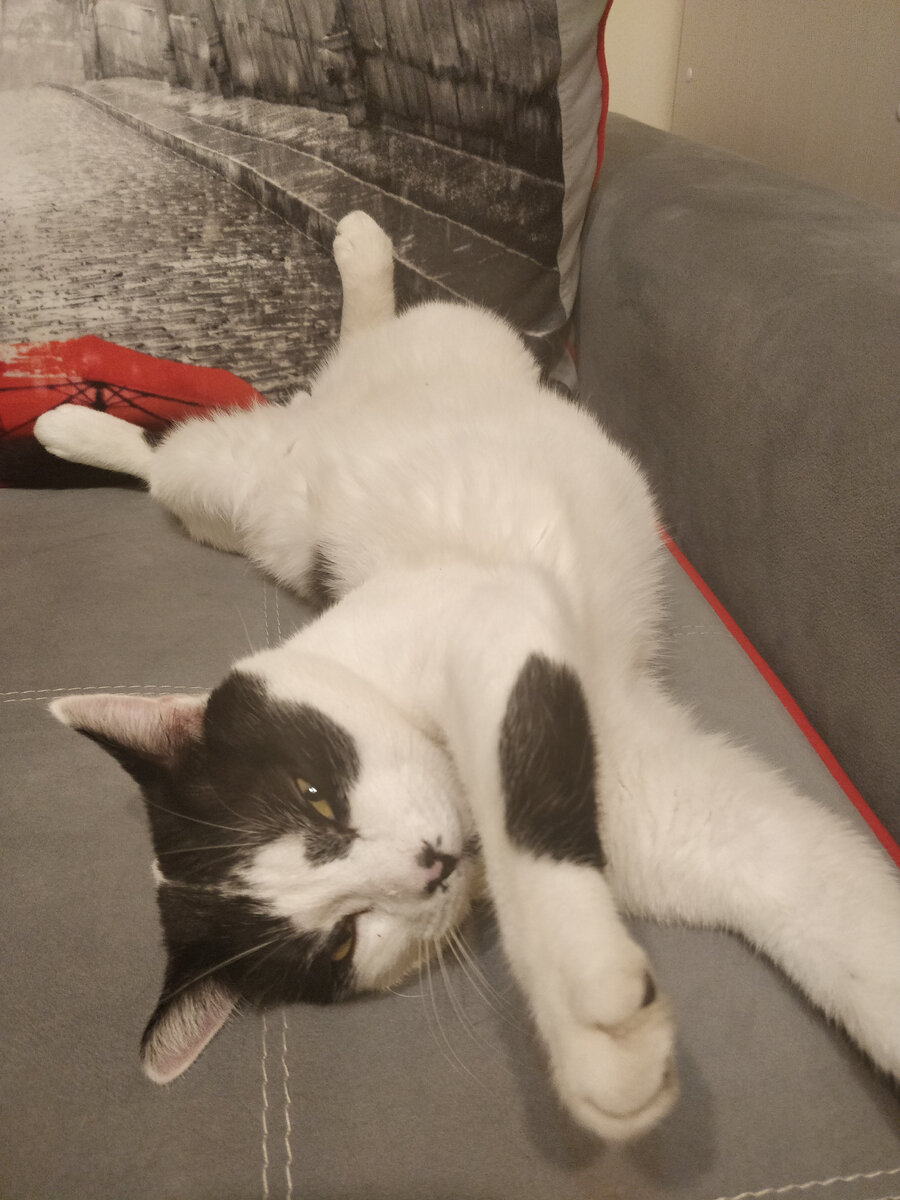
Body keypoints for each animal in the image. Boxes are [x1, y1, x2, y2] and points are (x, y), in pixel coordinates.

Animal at [34, 211, 900, 1142]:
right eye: (345, 937)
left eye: (316, 798)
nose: (429, 864)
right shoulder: (687, 818)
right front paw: (595, 1036)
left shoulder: (488, 613)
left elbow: (519, 803)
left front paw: (581, 1007)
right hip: (234, 512)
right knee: (193, 458)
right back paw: (75, 424)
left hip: (352, 407)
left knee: (236, 421)